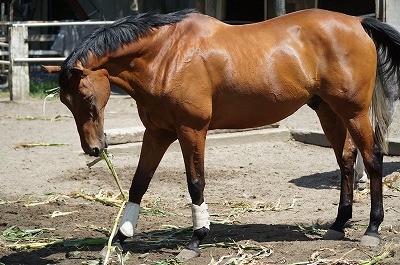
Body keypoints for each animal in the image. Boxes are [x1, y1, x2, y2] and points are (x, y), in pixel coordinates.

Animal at [43, 7, 400, 252]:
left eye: (87, 97)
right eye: (64, 101)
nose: (93, 148)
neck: (166, 55)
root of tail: (357, 21)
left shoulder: (191, 130)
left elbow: (195, 183)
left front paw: (197, 238)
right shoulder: (157, 132)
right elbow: (139, 182)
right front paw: (120, 236)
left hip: (353, 112)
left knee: (372, 158)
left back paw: (372, 229)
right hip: (329, 111)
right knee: (346, 160)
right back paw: (339, 224)